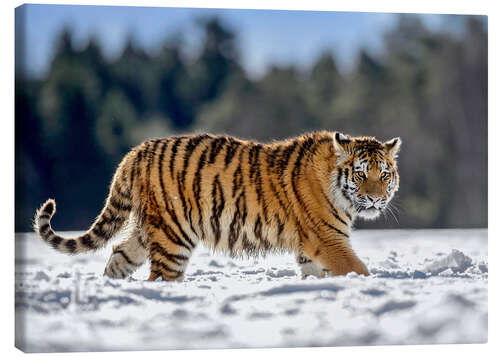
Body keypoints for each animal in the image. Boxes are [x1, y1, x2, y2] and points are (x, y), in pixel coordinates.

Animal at [33, 131, 400, 280]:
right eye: (361, 173)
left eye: (384, 175)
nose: (375, 198)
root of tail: (135, 152)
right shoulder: (328, 239)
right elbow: (357, 268)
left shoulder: (310, 248)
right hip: (173, 236)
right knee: (160, 276)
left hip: (145, 230)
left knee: (119, 254)